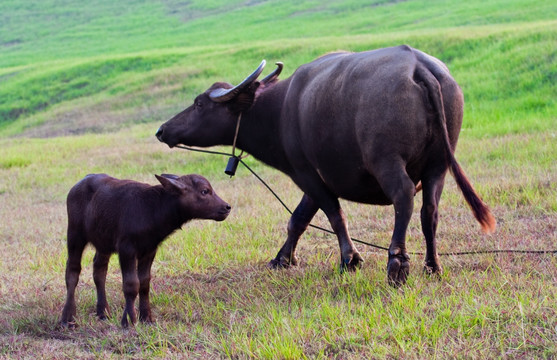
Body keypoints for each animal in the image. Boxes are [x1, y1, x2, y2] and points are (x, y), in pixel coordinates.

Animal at [62, 173, 231, 328]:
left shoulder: (149, 250)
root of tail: (78, 185)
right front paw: (129, 320)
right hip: (75, 235)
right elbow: (131, 284)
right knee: (72, 271)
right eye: (205, 191)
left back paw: (103, 312)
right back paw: (68, 318)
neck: (152, 209)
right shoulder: (126, 249)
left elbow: (144, 283)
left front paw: (146, 317)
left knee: (99, 271)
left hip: (103, 242)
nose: (227, 207)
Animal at [156, 45, 496, 286]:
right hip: (438, 164)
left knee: (403, 197)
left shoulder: (304, 172)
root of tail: (419, 66)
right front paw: (281, 259)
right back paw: (432, 265)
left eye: (199, 103)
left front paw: (350, 259)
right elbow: (299, 219)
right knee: (430, 211)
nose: (162, 130)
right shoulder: (315, 178)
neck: (278, 109)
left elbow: (333, 214)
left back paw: (397, 264)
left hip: (386, 161)